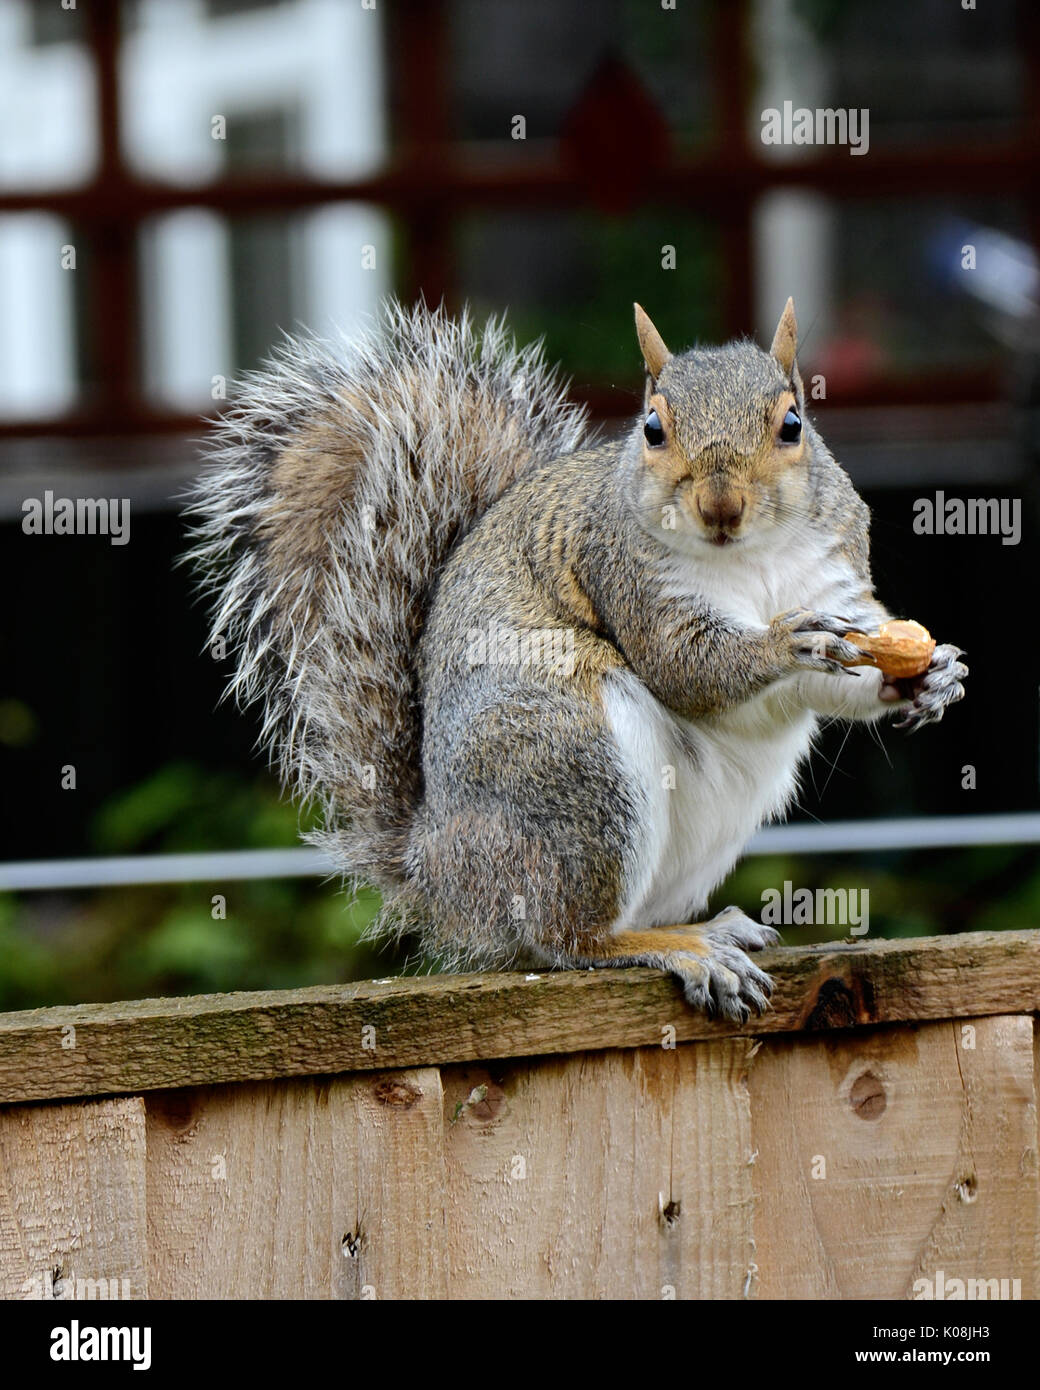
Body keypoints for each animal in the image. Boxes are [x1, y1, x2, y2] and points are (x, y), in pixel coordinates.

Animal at [187, 298, 968, 1020]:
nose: (721, 507)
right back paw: (685, 950)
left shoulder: (837, 581)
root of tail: (440, 868)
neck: (752, 558)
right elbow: (688, 668)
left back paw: (711, 928)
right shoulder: (625, 576)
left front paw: (934, 676)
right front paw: (784, 643)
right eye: (652, 428)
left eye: (793, 425)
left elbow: (850, 671)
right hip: (575, 768)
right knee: (569, 938)